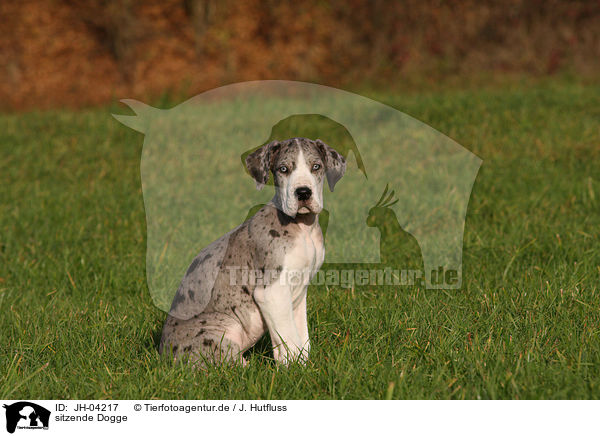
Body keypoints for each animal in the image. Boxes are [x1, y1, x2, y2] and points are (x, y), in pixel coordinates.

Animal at [159, 138, 346, 366]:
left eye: (316, 167)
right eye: (283, 169)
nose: (303, 193)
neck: (303, 228)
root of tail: (165, 357)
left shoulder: (299, 293)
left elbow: (302, 337)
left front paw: (305, 365)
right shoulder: (272, 292)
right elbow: (290, 340)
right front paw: (295, 369)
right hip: (220, 335)